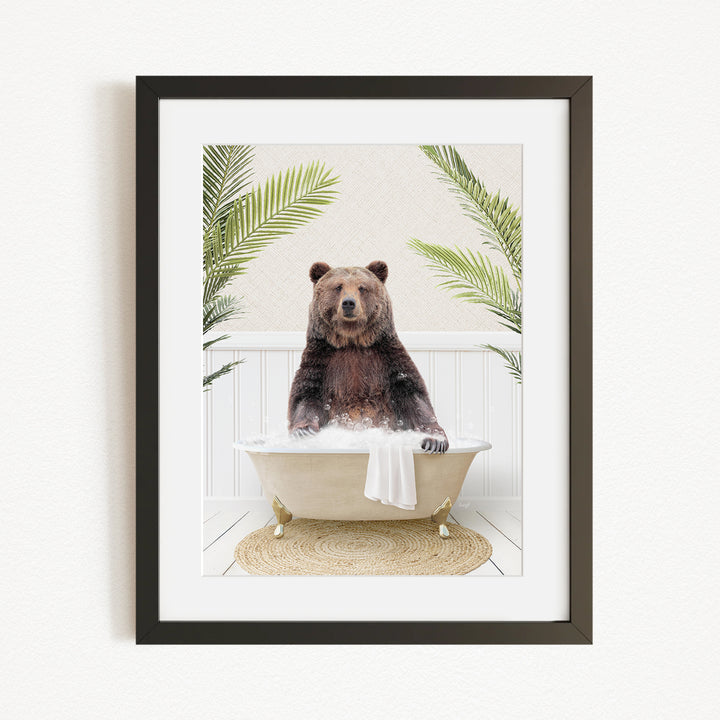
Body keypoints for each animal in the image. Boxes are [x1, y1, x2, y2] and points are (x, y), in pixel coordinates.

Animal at [287, 260, 449, 453]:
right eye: (338, 286)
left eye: (362, 287)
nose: (349, 303)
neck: (352, 341)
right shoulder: (321, 360)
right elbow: (306, 396)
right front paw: (303, 431)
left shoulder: (387, 359)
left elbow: (413, 396)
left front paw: (434, 440)